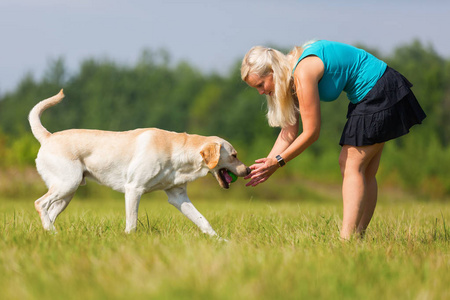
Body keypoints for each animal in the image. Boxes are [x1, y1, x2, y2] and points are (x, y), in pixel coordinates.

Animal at [29, 90, 250, 238]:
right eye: (234, 155)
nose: (248, 170)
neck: (177, 153)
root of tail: (48, 137)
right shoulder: (133, 189)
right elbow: (132, 222)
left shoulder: (179, 197)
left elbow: (203, 221)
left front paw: (221, 241)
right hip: (68, 184)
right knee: (40, 204)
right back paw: (52, 232)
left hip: (67, 193)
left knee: (49, 212)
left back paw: (53, 234)